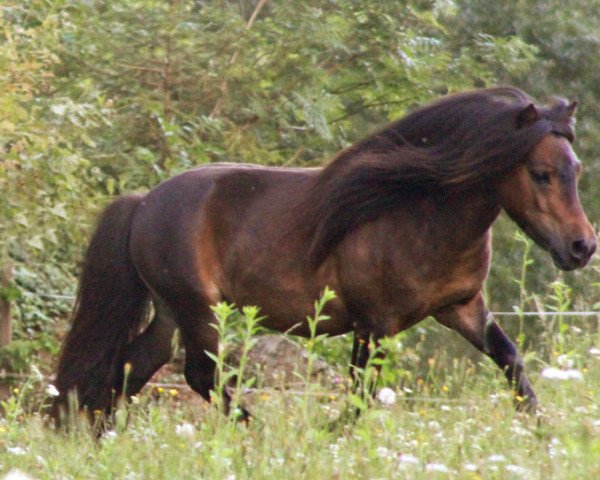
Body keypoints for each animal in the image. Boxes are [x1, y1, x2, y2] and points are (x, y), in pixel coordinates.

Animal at [52, 86, 596, 420]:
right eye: (540, 174)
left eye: (575, 168)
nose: (582, 247)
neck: (419, 213)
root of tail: (144, 203)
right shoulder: (374, 324)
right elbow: (359, 398)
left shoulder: (461, 308)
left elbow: (512, 364)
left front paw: (541, 433)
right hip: (200, 310)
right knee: (200, 374)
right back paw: (259, 435)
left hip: (171, 313)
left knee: (129, 368)